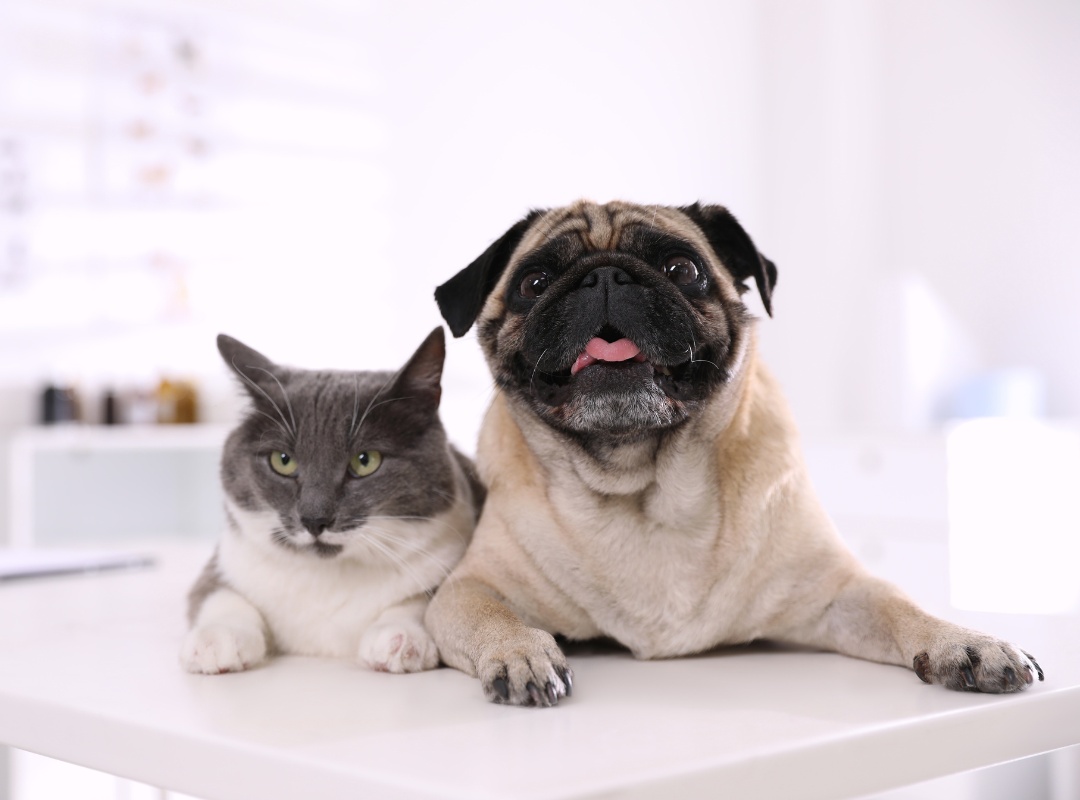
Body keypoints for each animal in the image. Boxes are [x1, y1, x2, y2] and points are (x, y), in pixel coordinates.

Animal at [179, 328, 479, 669]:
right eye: (283, 460)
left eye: (365, 460)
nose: (314, 519)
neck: (328, 580)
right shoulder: (228, 559)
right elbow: (216, 592)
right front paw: (216, 637)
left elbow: (424, 599)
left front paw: (400, 637)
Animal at [423, 199, 1045, 703]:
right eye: (534, 282)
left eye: (683, 270)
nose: (604, 275)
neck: (641, 484)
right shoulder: (467, 589)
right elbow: (492, 615)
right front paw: (521, 652)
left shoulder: (837, 593)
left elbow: (900, 603)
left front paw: (965, 642)